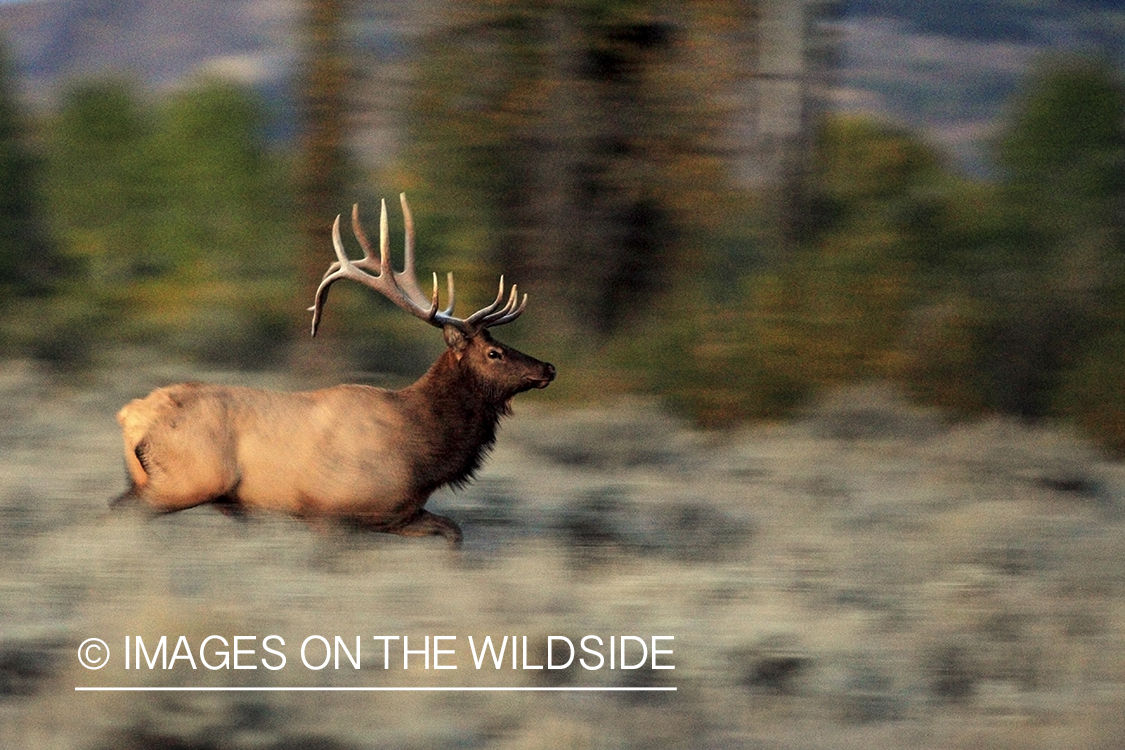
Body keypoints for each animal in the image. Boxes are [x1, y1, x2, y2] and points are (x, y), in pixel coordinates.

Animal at [110, 192, 558, 546]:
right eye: (494, 353)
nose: (548, 367)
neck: (422, 450)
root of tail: (130, 415)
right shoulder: (331, 509)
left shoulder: (398, 513)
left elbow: (454, 531)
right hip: (187, 479)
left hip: (149, 479)